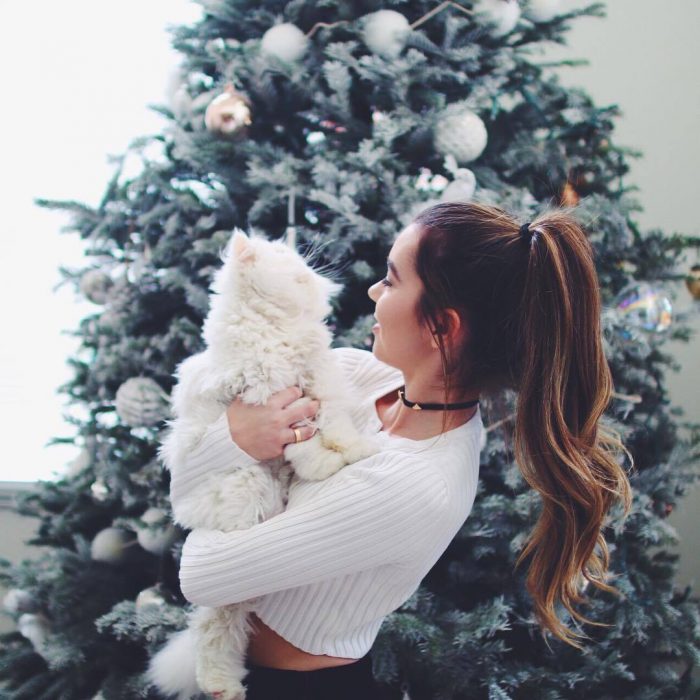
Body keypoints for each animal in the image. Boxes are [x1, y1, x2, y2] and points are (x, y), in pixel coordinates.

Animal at [145, 230, 380, 700]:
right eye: (291, 267)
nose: (311, 277)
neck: (277, 329)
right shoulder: (267, 395)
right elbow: (305, 444)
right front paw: (328, 464)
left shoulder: (317, 381)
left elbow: (334, 423)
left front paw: (353, 450)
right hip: (249, 487)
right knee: (213, 626)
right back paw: (221, 686)